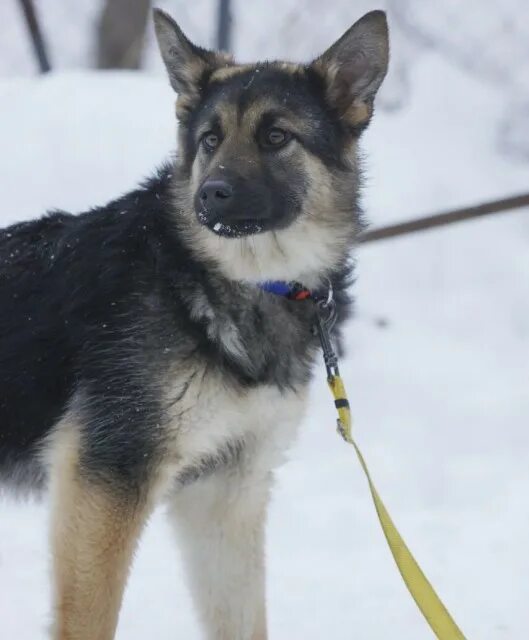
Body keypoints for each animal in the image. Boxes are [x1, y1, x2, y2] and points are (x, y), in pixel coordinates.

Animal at [0, 8, 388, 640]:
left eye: (276, 136)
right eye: (211, 139)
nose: (210, 195)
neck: (221, 279)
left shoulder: (225, 495)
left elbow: (243, 620)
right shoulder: (105, 481)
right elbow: (90, 618)